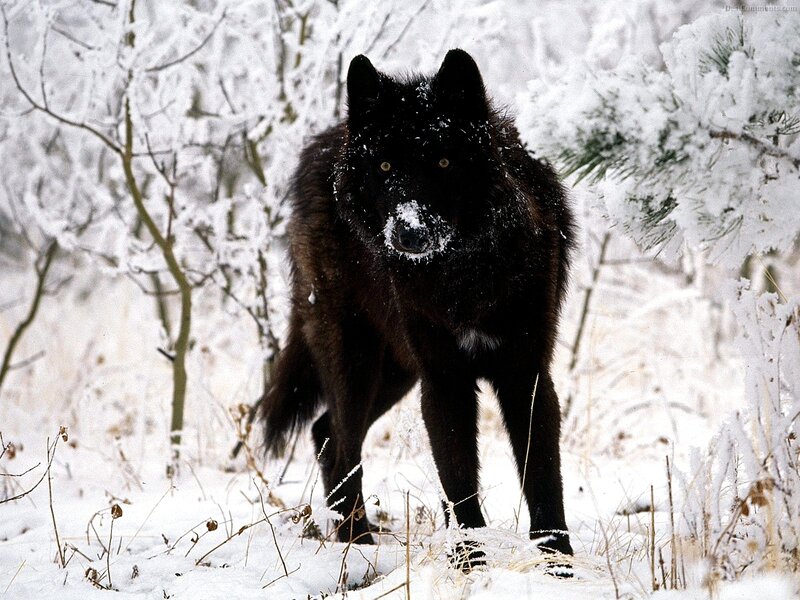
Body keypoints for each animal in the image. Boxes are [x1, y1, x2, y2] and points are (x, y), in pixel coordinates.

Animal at [260, 49, 575, 560]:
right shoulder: (444, 380)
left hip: (396, 372)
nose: (409, 232)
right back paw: (358, 545)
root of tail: (324, 143)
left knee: (325, 432)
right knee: (341, 443)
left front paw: (559, 563)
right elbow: (459, 482)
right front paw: (469, 562)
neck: (463, 276)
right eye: (386, 167)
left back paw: (355, 541)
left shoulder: (525, 374)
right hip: (357, 363)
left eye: (444, 161)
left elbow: (543, 479)